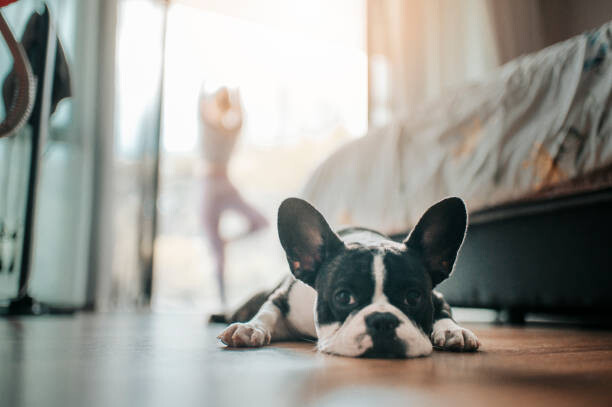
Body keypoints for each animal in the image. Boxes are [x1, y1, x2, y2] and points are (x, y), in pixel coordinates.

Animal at [214, 199, 478, 358]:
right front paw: (250, 328)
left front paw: (454, 331)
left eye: (413, 298)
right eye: (343, 297)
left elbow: (443, 313)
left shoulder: (437, 296)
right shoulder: (282, 298)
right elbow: (267, 313)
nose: (383, 320)